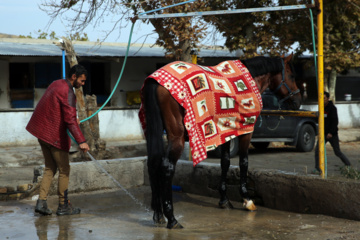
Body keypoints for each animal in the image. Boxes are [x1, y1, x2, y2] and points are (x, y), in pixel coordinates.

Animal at [140, 54, 300, 229]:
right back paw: (172, 218)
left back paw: (158, 215)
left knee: (153, 163)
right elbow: (244, 162)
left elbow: (225, 162)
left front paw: (224, 199)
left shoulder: (225, 132)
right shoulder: (246, 131)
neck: (249, 78)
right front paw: (247, 200)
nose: (298, 101)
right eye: (292, 75)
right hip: (177, 137)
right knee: (167, 168)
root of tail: (155, 80)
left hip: (155, 133)